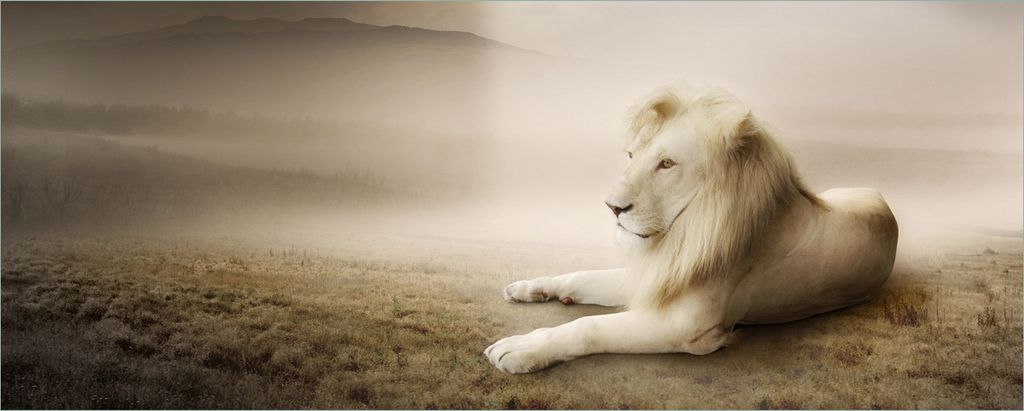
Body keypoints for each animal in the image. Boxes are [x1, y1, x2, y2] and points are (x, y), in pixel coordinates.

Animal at [485, 84, 899, 374]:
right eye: (632, 156)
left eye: (667, 164)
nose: (612, 207)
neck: (681, 235)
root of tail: (881, 197)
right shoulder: (656, 277)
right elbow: (582, 275)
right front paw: (532, 288)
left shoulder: (687, 327)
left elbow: (589, 327)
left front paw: (521, 349)